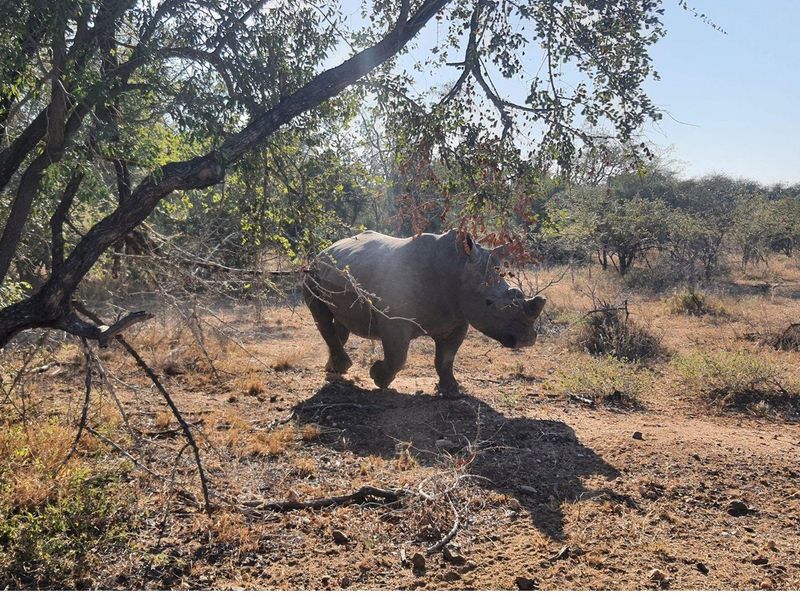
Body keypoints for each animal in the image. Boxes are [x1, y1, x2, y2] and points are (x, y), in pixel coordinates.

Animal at [302, 230, 546, 395]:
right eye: (489, 303)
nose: (526, 340)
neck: (457, 268)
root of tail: (326, 249)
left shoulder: (457, 318)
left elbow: (446, 358)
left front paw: (451, 390)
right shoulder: (395, 319)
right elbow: (398, 355)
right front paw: (378, 378)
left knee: (340, 320)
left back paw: (334, 369)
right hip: (312, 273)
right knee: (321, 316)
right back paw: (344, 366)